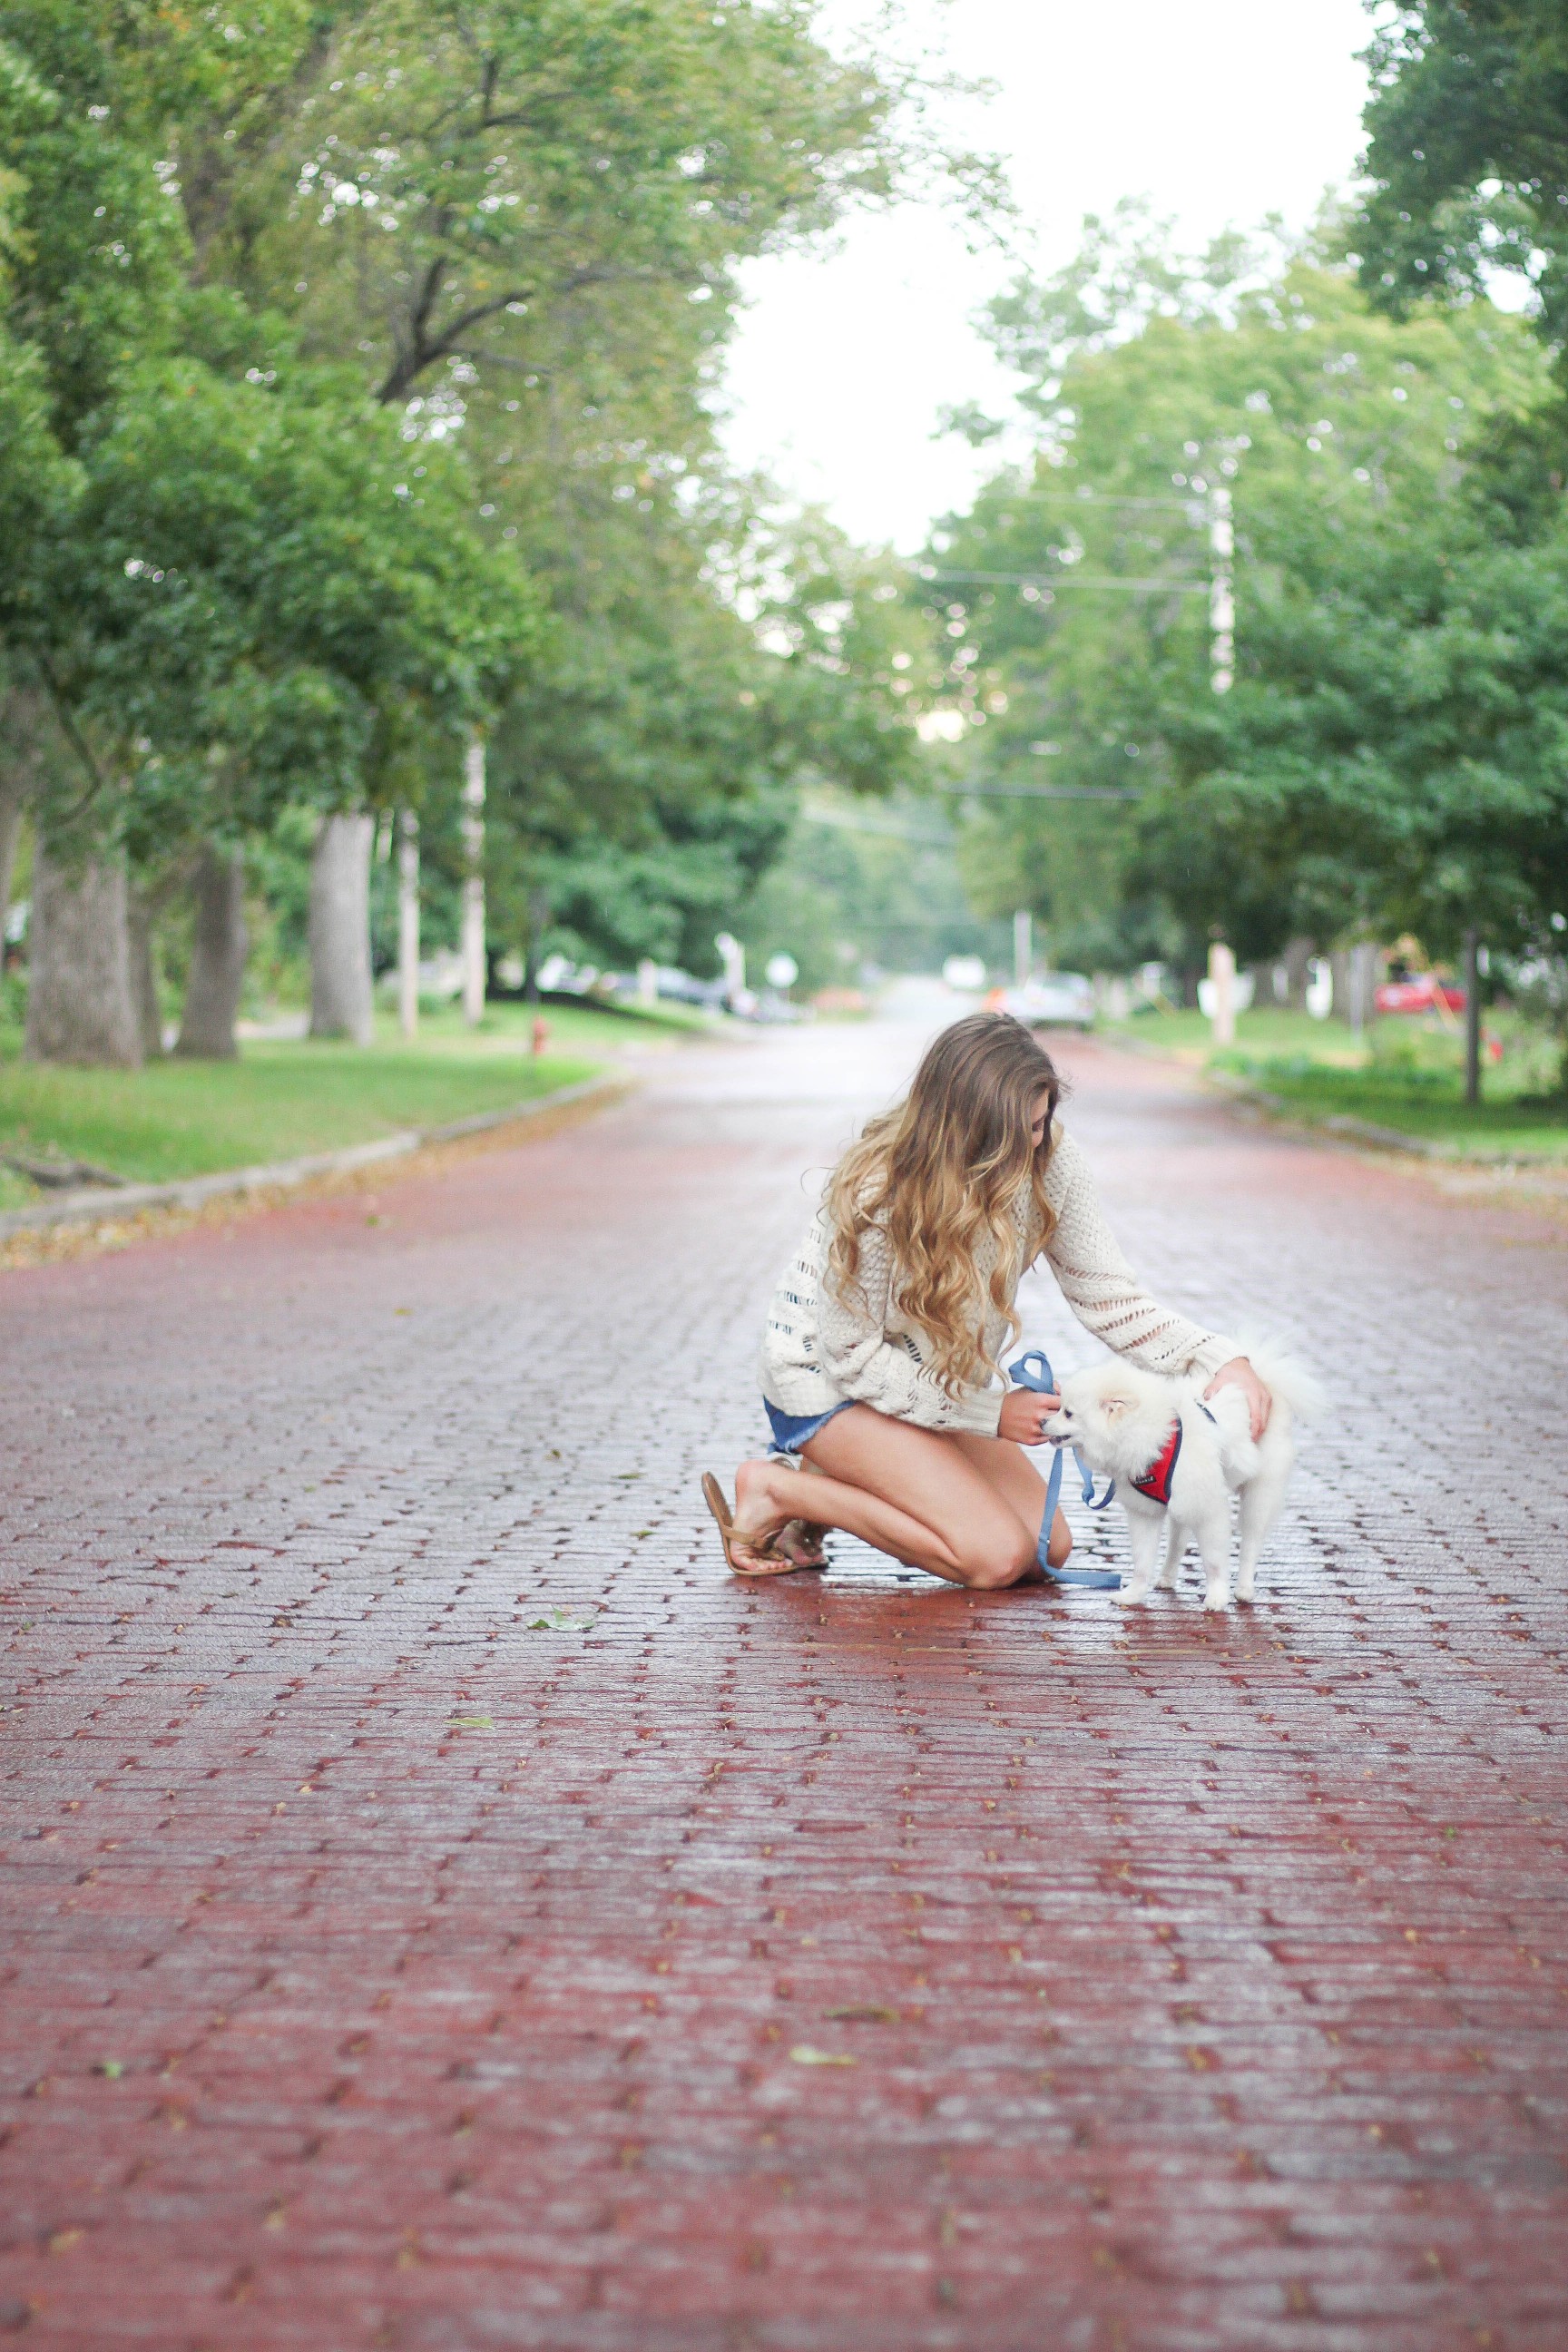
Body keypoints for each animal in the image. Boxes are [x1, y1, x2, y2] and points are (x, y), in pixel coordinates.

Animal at [1044, 1354, 1326, 1608]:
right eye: (1060, 1408)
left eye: (1068, 1413)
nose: (1044, 1420)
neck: (1157, 1436)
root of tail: (1264, 1379)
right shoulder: (1145, 1512)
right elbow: (1142, 1561)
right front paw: (1133, 1595)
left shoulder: (1208, 1509)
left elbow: (1213, 1560)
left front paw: (1217, 1597)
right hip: (1181, 1501)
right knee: (1178, 1540)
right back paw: (1168, 1577)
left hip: (1259, 1492)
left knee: (1251, 1540)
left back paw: (1244, 1588)